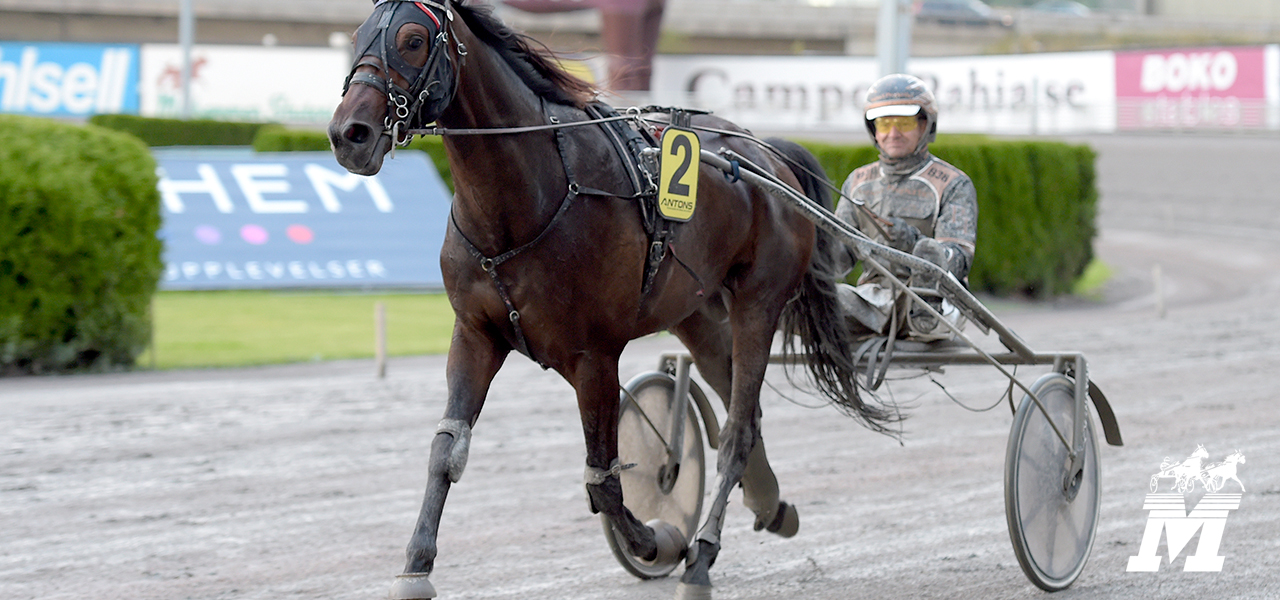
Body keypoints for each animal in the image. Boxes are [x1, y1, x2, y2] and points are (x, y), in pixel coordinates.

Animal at [325, 2, 896, 596]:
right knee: (739, 406)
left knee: (738, 429)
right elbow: (446, 450)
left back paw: (701, 557)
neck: (526, 199)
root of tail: (765, 154)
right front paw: (415, 567)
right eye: (359, 35)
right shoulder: (475, 334)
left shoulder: (593, 355)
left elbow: (603, 480)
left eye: (413, 40)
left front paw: (658, 540)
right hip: (696, 310)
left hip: (758, 303)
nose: (349, 134)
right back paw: (770, 504)